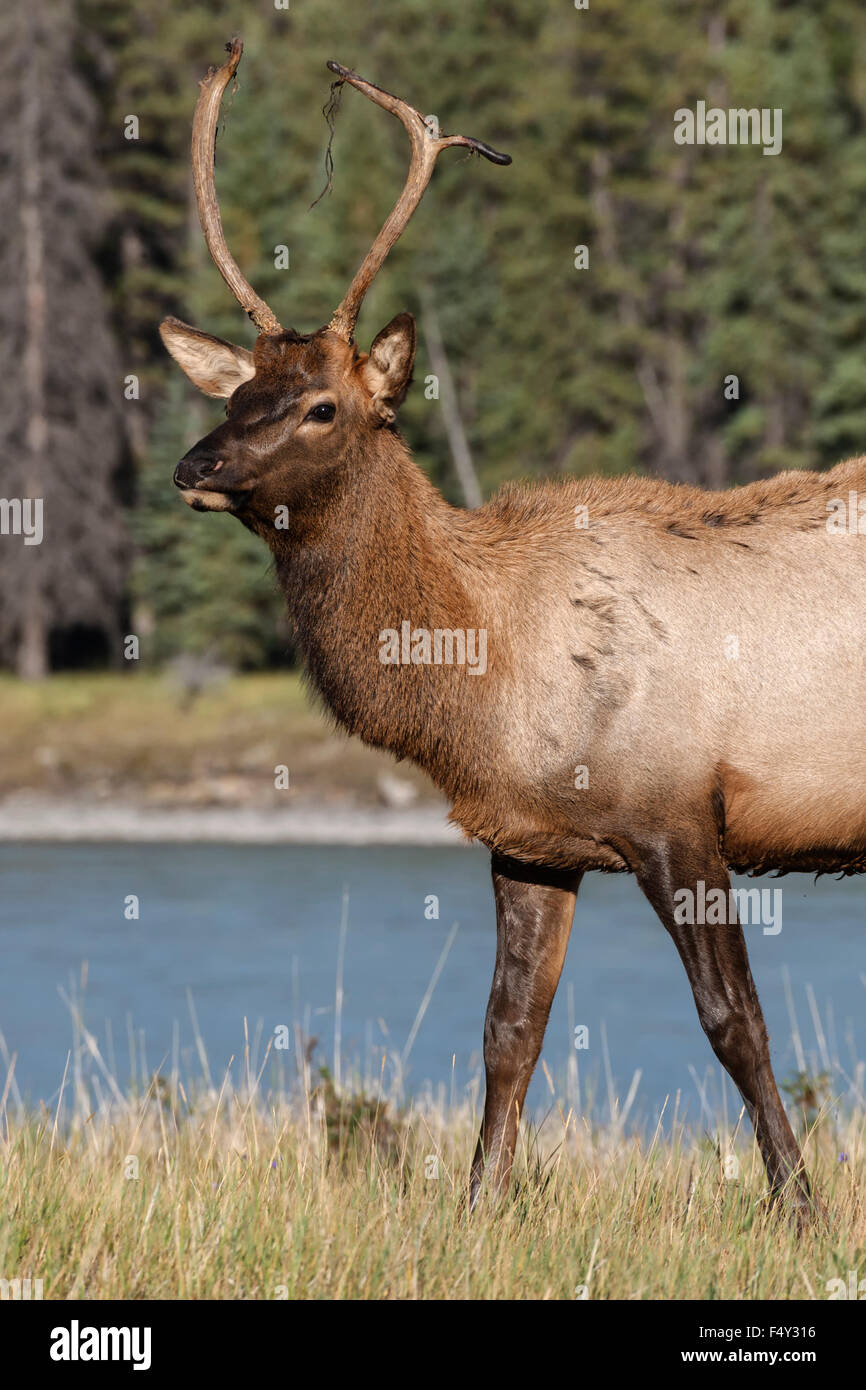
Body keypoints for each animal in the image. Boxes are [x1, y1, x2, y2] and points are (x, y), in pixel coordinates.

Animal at [157, 40, 856, 1217]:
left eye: (321, 407)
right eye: (237, 393)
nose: (194, 465)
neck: (484, 669)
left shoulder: (678, 812)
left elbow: (735, 1026)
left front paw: (799, 1208)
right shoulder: (527, 840)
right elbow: (507, 1032)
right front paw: (478, 1205)